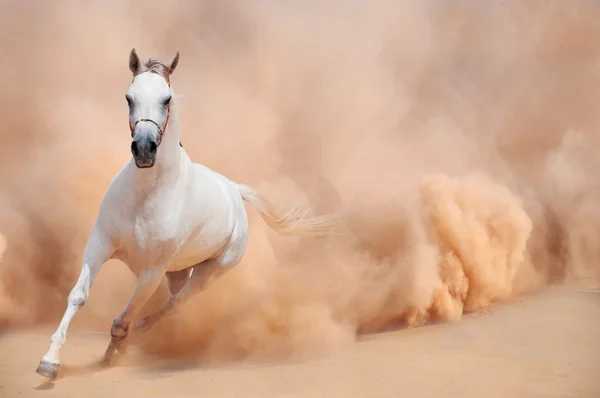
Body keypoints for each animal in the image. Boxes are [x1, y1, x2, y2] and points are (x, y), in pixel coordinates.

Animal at [36, 48, 342, 378]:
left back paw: (140, 334)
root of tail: (234, 190)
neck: (145, 196)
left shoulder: (151, 272)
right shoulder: (99, 245)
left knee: (174, 305)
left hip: (208, 273)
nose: (144, 149)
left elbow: (123, 321)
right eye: (129, 98)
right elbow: (78, 296)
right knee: (172, 300)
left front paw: (110, 355)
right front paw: (49, 361)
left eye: (167, 99)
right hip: (177, 272)